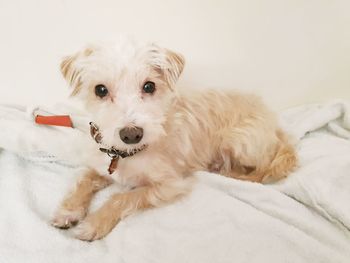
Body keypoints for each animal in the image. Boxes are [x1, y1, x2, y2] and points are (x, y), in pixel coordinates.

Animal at [51, 38, 298, 242]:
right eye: (100, 90)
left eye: (149, 86)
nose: (131, 134)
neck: (128, 154)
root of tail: (276, 126)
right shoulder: (103, 166)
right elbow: (83, 180)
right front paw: (68, 210)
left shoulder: (170, 185)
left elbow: (124, 197)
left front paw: (94, 223)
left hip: (237, 141)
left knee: (261, 170)